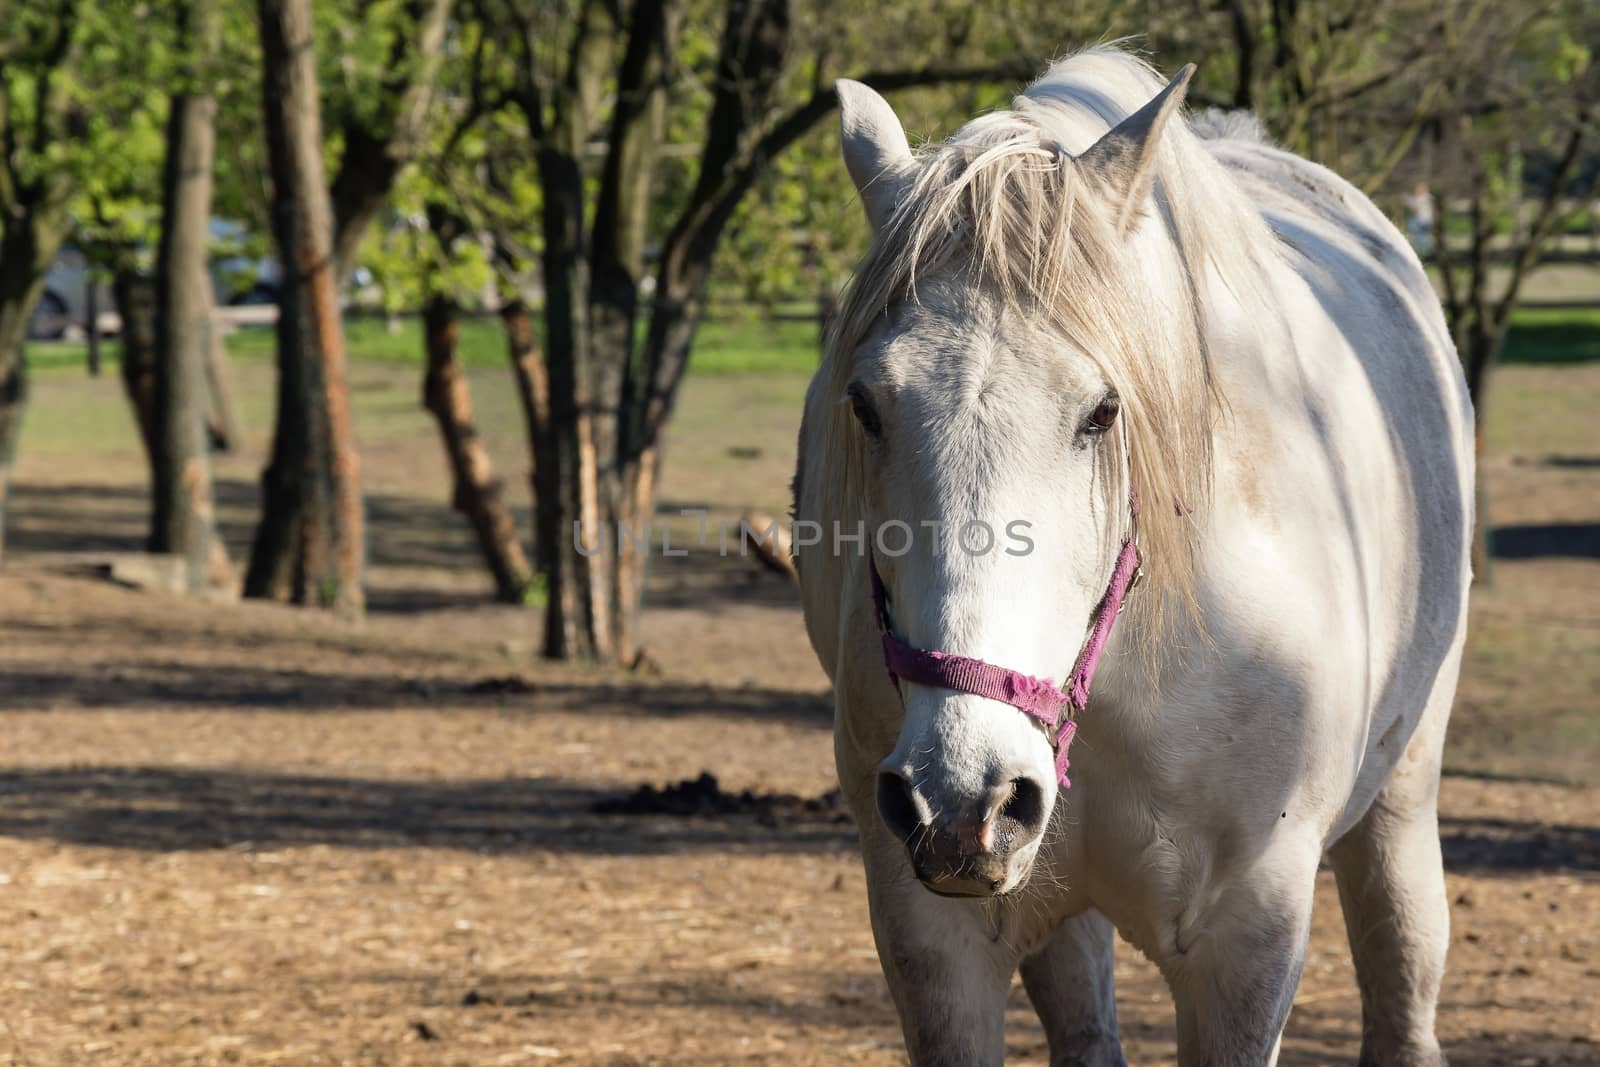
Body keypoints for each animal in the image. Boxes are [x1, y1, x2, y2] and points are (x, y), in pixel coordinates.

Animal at [793, 45, 1465, 1062]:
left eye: (1103, 410)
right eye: (867, 404)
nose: (962, 796)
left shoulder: (1248, 944)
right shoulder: (935, 941)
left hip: (1403, 797)